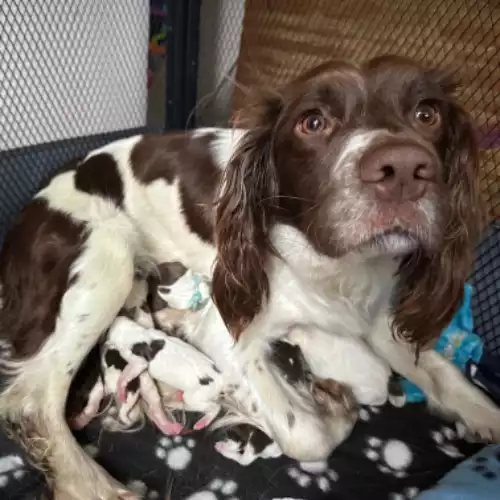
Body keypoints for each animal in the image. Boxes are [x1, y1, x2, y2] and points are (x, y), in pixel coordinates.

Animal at [0, 54, 500, 500]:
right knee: (31, 402)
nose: (403, 170)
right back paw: (96, 487)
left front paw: (483, 416)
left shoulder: (374, 310)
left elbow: (442, 372)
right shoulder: (227, 329)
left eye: (427, 113)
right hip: (106, 257)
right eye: (312, 122)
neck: (329, 265)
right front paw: (331, 410)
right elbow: (306, 436)